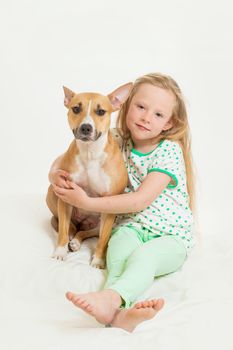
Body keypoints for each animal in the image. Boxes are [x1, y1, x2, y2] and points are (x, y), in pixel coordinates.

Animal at [45, 84, 131, 268]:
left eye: (101, 111)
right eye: (76, 109)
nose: (86, 127)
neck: (90, 152)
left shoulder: (110, 205)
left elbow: (103, 239)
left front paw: (98, 260)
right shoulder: (65, 196)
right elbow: (62, 231)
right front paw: (60, 252)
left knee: (85, 232)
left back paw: (77, 241)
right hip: (53, 193)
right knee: (69, 227)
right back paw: (72, 239)